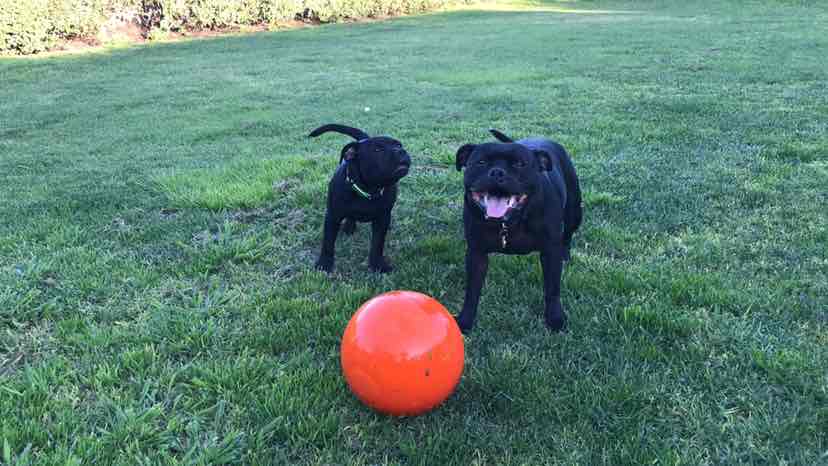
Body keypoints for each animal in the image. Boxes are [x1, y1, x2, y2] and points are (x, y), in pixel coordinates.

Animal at [308, 124, 412, 274]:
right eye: (377, 149)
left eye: (399, 145)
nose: (401, 151)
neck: (368, 189)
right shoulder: (333, 216)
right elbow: (328, 242)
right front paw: (324, 264)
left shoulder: (382, 219)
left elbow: (377, 243)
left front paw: (377, 264)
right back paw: (349, 226)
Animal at [452, 127, 584, 332]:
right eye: (481, 162)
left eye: (520, 164)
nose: (497, 172)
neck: (510, 222)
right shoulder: (476, 253)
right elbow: (472, 291)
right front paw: (465, 321)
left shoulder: (550, 252)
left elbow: (552, 289)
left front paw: (555, 319)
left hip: (574, 211)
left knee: (568, 234)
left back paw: (566, 254)